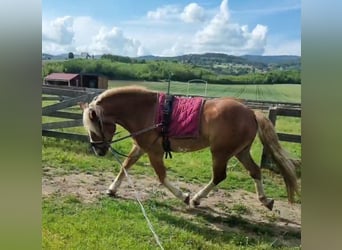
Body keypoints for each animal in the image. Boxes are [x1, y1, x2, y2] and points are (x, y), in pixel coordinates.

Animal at [80, 85, 300, 210]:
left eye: (94, 127)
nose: (98, 150)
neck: (147, 111)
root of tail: (251, 112)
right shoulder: (141, 147)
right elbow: (125, 166)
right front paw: (111, 189)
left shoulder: (154, 152)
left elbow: (161, 176)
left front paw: (183, 196)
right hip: (240, 152)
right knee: (254, 171)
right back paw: (265, 200)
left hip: (221, 153)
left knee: (219, 176)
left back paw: (196, 199)